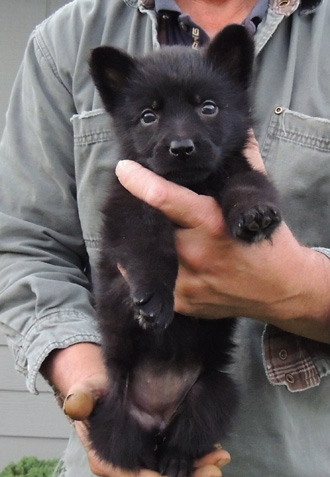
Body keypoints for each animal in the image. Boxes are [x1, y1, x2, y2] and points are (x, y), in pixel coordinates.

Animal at [88, 25, 282, 476]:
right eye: (148, 115)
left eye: (208, 107)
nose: (181, 148)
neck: (191, 185)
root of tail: (157, 416)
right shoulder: (132, 202)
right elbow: (148, 240)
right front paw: (154, 296)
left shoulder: (234, 167)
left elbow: (245, 183)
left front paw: (254, 212)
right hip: (114, 415)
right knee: (131, 452)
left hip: (213, 393)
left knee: (184, 438)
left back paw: (176, 460)